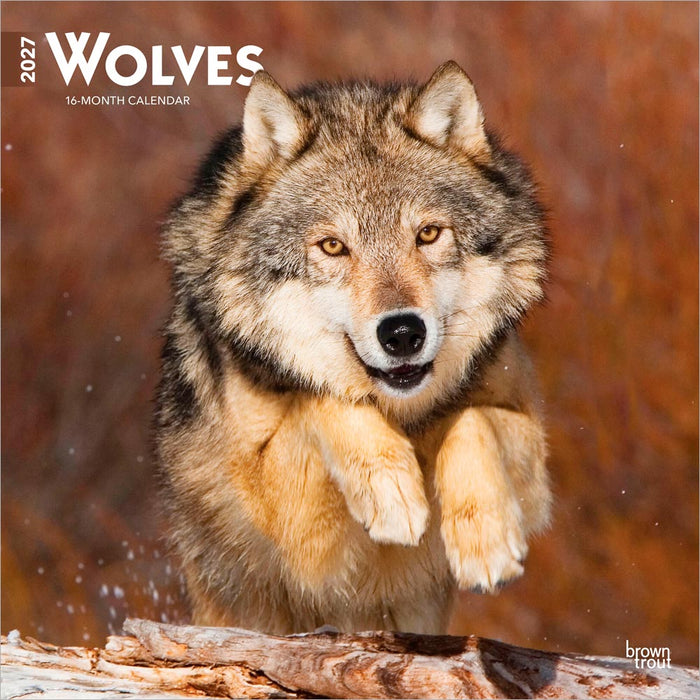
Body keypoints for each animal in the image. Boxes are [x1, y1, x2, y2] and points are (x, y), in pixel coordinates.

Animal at [155, 61, 551, 635]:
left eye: (428, 234)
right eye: (332, 246)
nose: (403, 333)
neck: (402, 414)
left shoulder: (530, 449)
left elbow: (469, 419)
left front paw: (487, 543)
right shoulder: (290, 525)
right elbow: (318, 398)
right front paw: (391, 487)